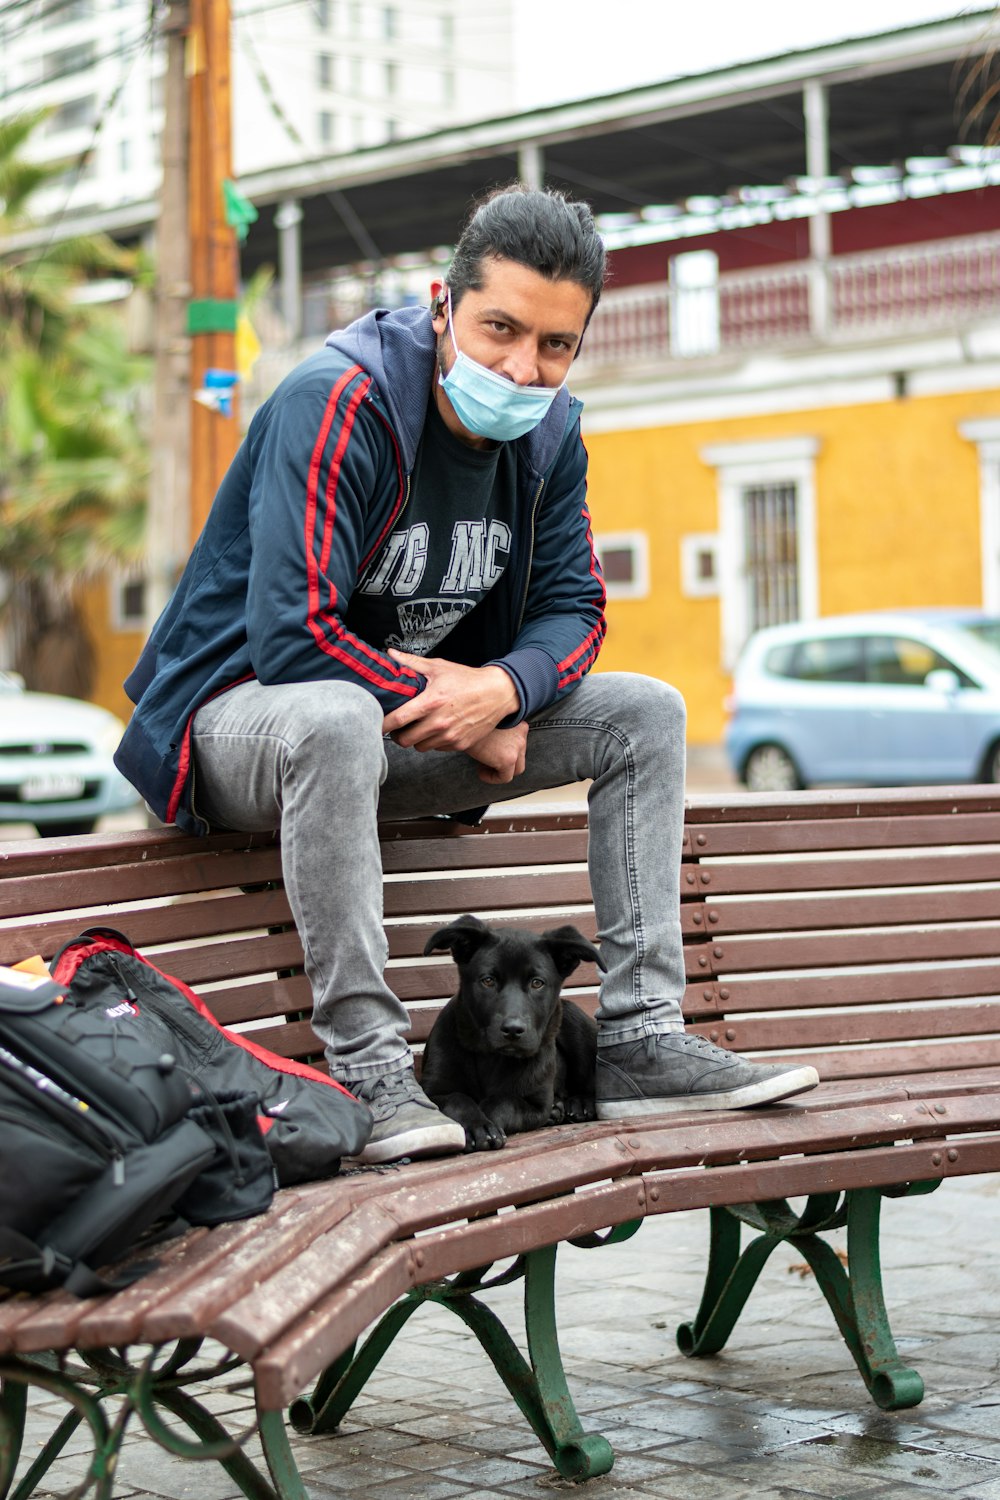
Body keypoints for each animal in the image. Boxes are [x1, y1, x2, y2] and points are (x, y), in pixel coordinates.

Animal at [419, 912, 605, 1146]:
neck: (491, 1056)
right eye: (488, 981)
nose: (513, 1030)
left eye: (537, 983)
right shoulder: (433, 1092)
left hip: (573, 1018)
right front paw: (478, 1125)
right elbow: (457, 1099)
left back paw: (580, 1104)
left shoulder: (536, 1104)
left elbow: (503, 1102)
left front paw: (487, 1123)